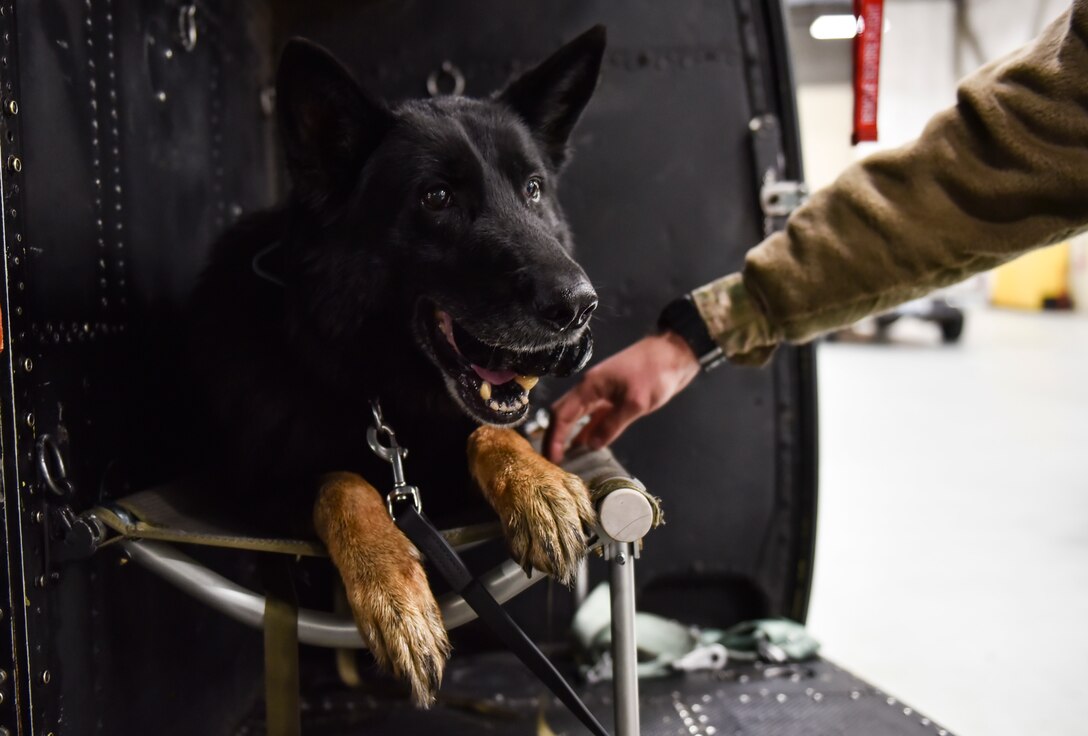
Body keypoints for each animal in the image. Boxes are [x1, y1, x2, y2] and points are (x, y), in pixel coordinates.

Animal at [191, 28, 609, 705]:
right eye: (436, 197)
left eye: (533, 189)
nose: (579, 307)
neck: (376, 380)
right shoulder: (248, 489)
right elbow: (343, 482)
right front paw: (394, 593)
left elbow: (489, 433)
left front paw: (540, 487)